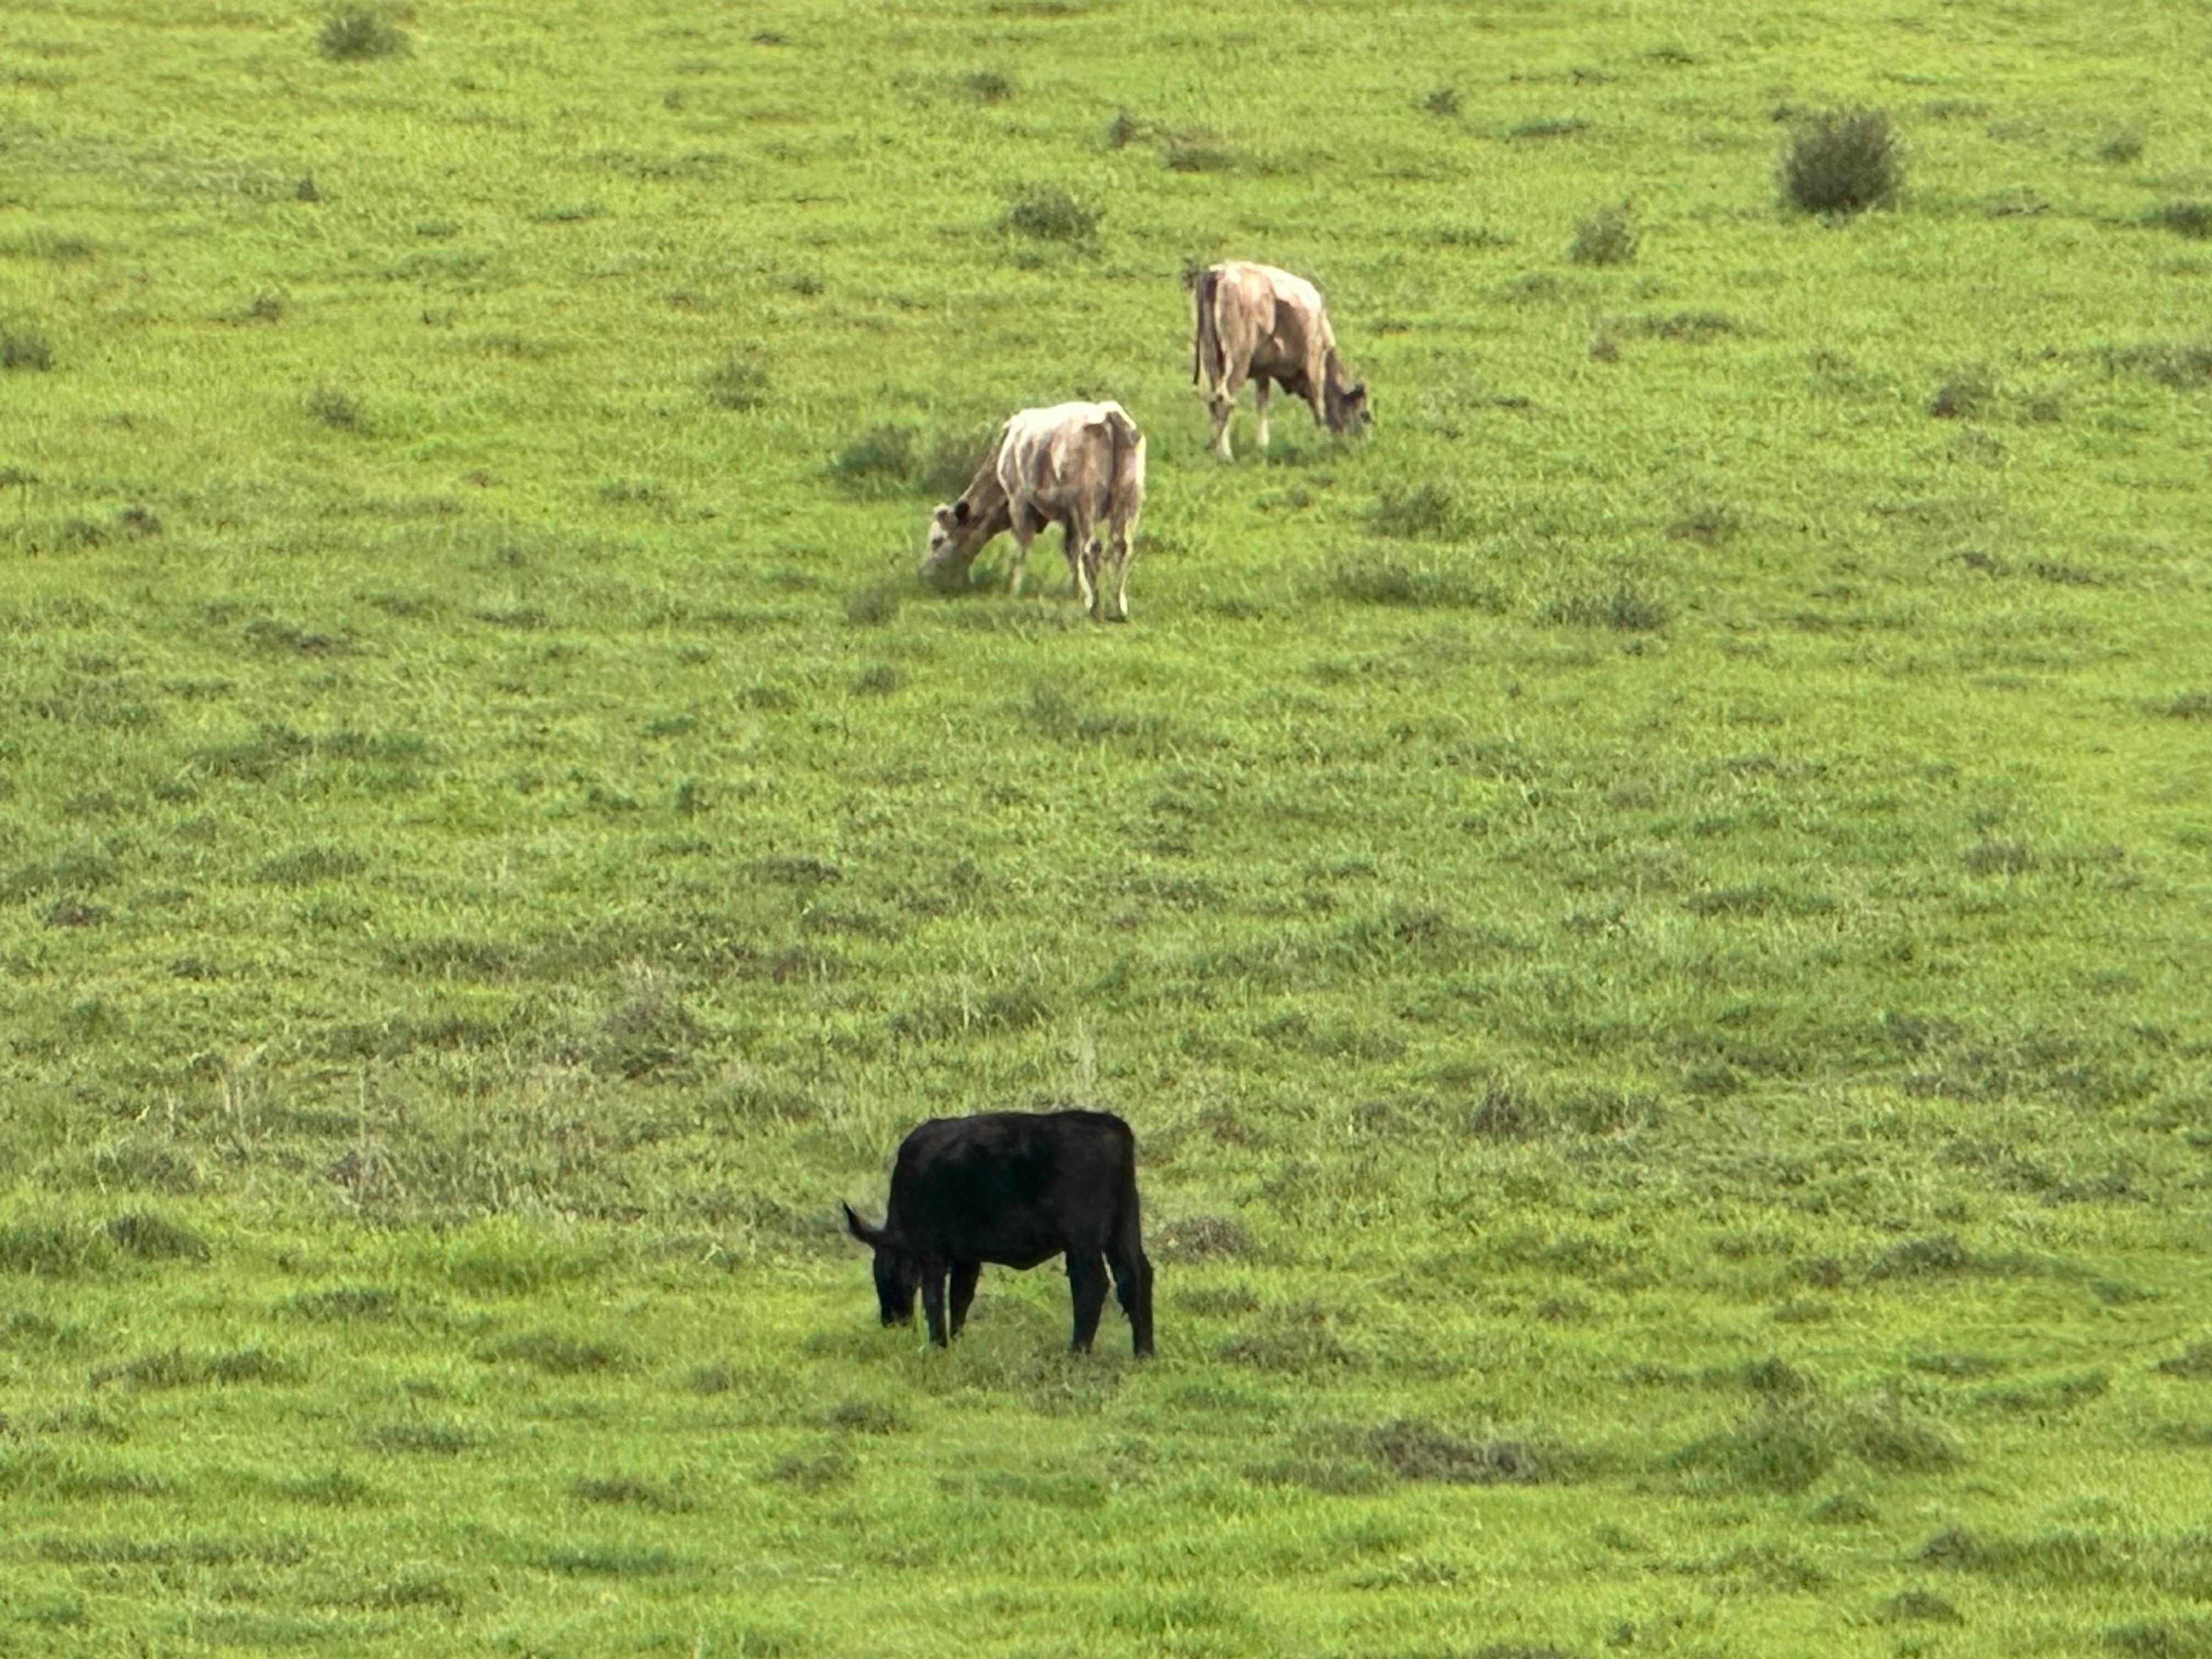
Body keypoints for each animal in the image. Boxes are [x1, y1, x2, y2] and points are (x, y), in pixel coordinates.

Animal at [842, 1109, 1154, 1356]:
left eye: (882, 1273)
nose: (890, 1321)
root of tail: (1110, 1126)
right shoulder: (966, 1256)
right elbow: (960, 1297)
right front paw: (957, 1340)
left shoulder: (933, 1253)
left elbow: (934, 1299)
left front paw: (938, 1345)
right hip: (1124, 1227)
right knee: (1135, 1276)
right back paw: (1144, 1353)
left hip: (1083, 1238)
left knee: (1092, 1284)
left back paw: (1077, 1351)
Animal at [919, 400, 1147, 622]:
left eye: (936, 541)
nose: (925, 575)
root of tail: (1107, 413)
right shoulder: (1069, 516)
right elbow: (1071, 551)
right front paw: (1077, 592)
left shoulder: (1019, 502)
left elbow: (1020, 550)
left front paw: (1013, 591)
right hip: (1128, 500)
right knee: (1121, 547)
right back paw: (1117, 609)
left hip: (1086, 502)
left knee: (1093, 549)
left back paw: (1096, 609)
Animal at [1190, 260, 1368, 460]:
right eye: (1363, 415)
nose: (1359, 445)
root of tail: (1221, 272)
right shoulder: (1314, 360)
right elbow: (1319, 404)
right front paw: (1322, 441)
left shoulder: (1264, 370)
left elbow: (1262, 402)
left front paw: (1262, 445)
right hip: (1239, 357)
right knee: (1223, 400)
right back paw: (1226, 455)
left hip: (1212, 358)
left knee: (1214, 402)